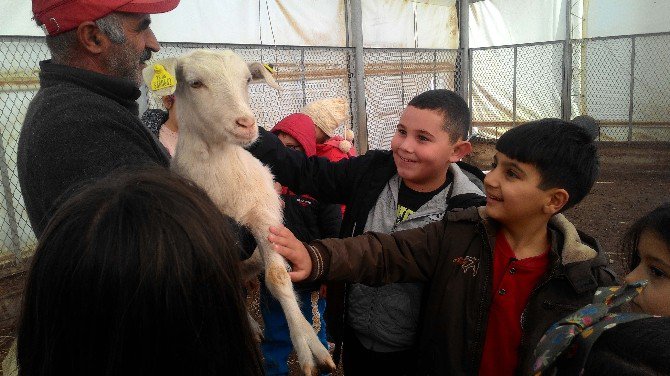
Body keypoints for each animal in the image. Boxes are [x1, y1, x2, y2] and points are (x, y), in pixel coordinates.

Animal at [146, 49, 336, 374]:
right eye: (195, 83)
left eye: (247, 80)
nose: (246, 123)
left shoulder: (264, 215)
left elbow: (278, 278)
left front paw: (309, 348)